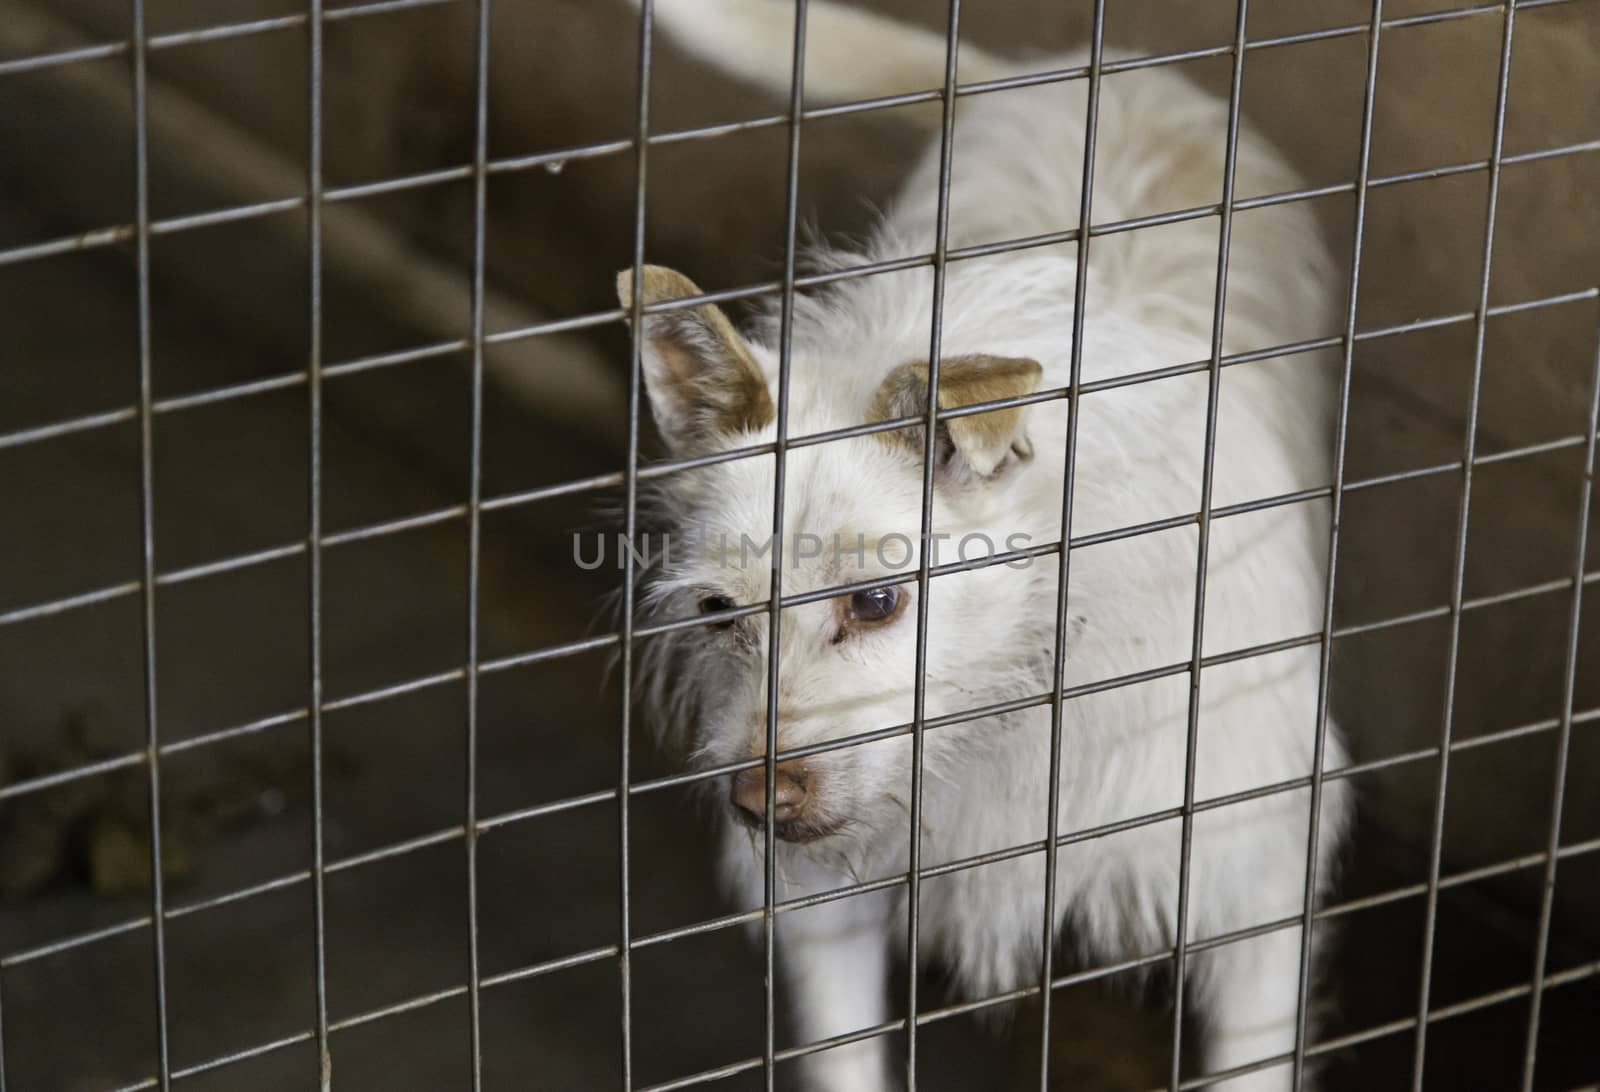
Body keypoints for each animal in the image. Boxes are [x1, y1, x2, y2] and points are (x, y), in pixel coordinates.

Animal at [617, 4, 1344, 1082]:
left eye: (878, 601)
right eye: (717, 612)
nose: (757, 803)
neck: (1027, 683)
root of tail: (1095, 64)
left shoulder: (1254, 882)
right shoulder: (824, 903)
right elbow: (842, 1051)